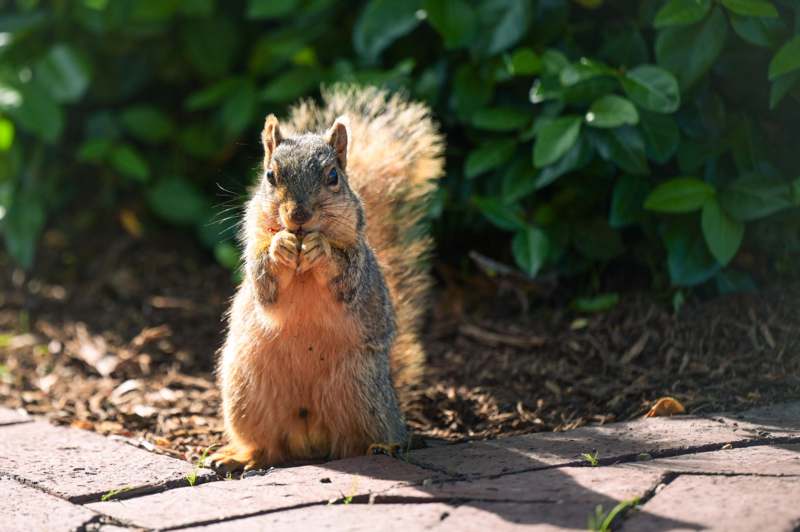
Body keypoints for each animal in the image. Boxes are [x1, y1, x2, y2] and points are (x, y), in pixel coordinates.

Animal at [207, 86, 444, 472]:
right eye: (270, 176)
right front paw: (281, 245)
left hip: (362, 390)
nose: (298, 215)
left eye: (333, 177)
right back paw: (239, 457)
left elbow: (345, 279)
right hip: (247, 393)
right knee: (266, 446)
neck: (303, 267)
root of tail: (309, 440)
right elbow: (264, 286)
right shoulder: (256, 264)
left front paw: (322, 250)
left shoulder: (358, 267)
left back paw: (385, 446)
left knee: (357, 439)